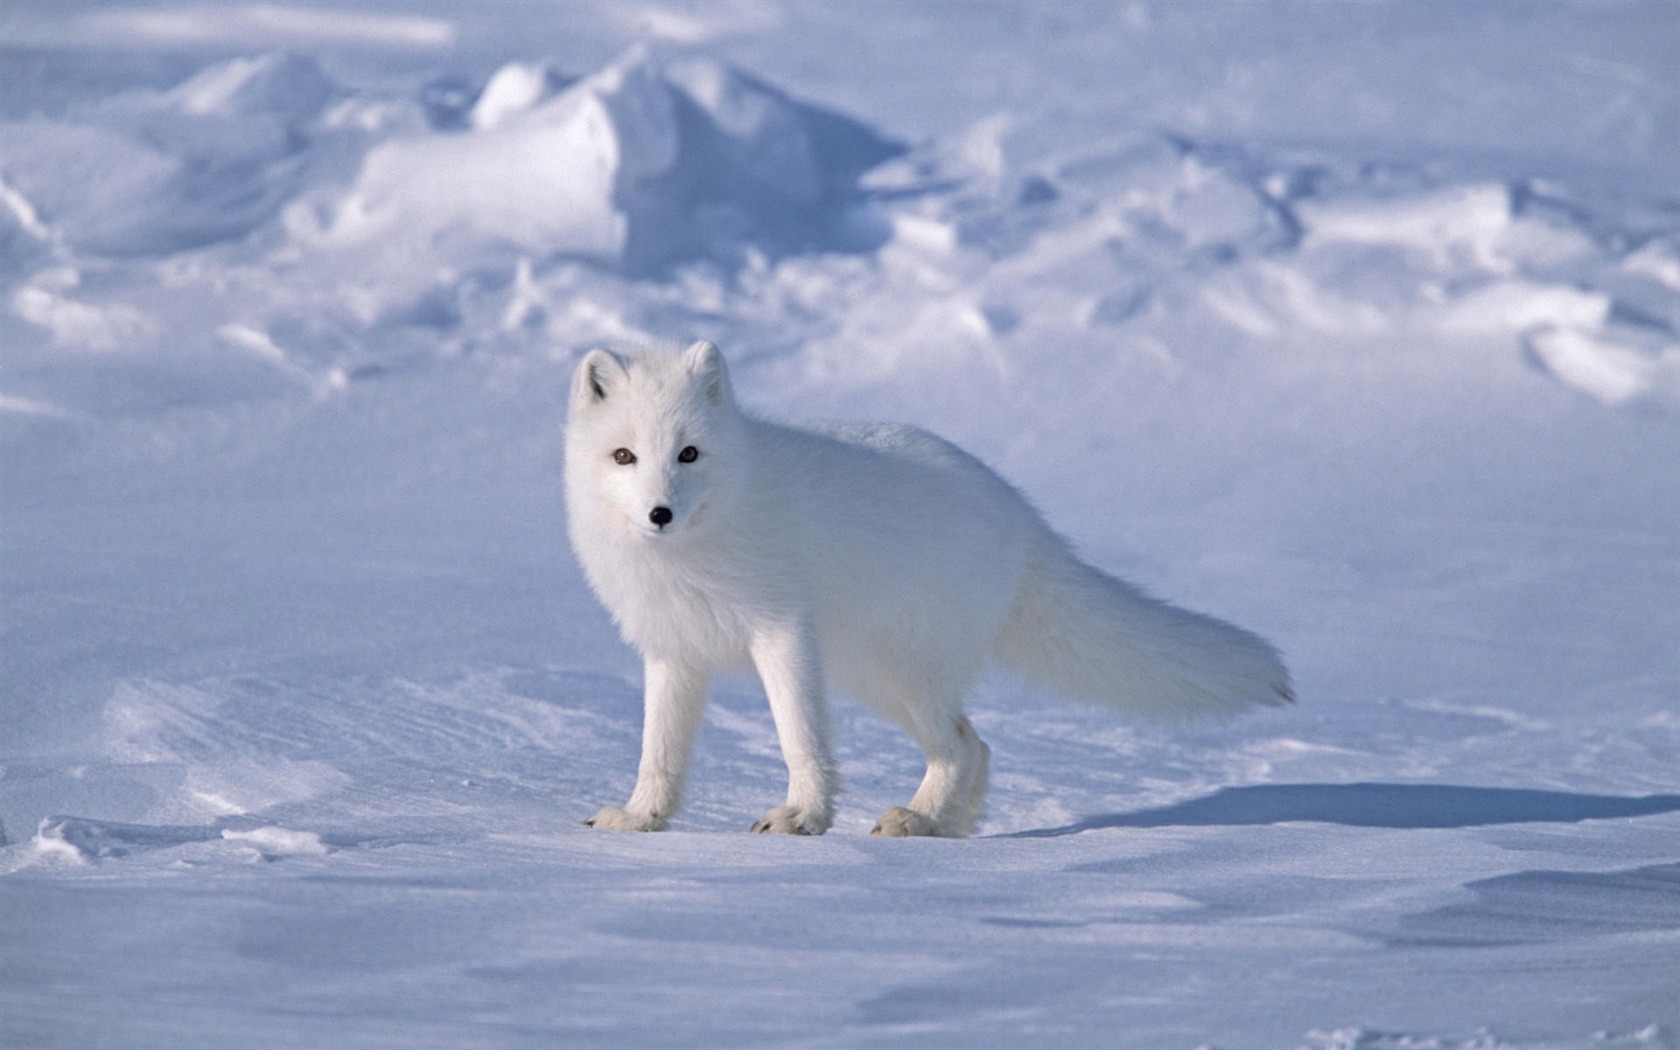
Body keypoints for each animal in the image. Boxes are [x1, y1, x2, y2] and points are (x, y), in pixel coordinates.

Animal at [564, 342, 1283, 836]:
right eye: (625, 456)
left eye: (688, 453)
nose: (660, 513)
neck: (696, 546)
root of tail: (1025, 519)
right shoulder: (673, 651)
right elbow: (659, 751)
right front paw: (641, 818)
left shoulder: (782, 633)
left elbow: (800, 737)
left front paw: (802, 817)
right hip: (875, 677)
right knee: (976, 745)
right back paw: (944, 826)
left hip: (899, 670)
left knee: (963, 744)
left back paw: (919, 819)